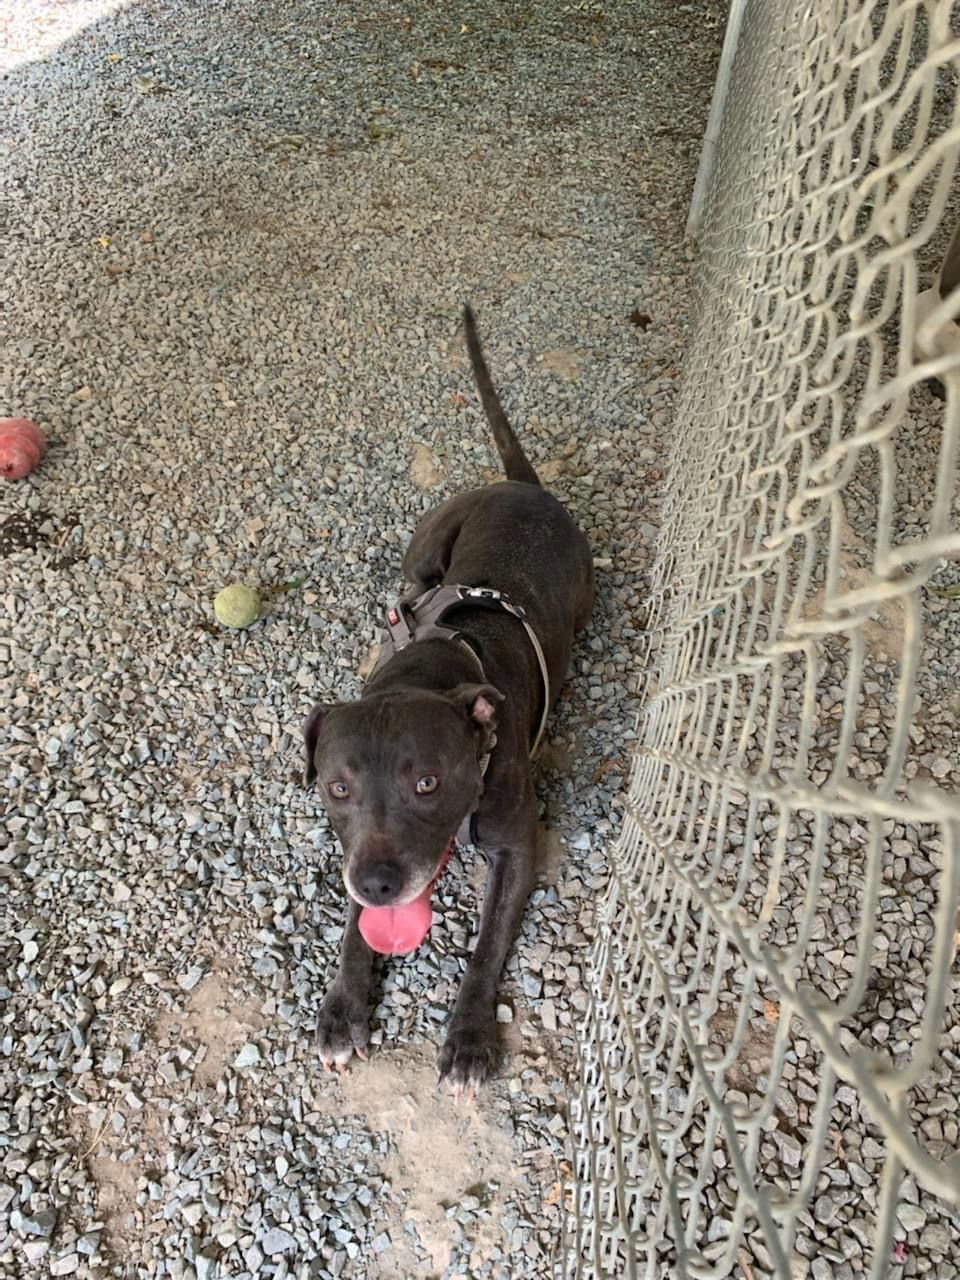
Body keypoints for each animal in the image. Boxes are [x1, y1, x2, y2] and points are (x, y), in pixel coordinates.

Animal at [304, 304, 599, 1095]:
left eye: (428, 783)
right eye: (336, 788)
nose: (378, 882)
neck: (432, 672)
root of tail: (525, 485)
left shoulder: (516, 850)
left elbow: (486, 948)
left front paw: (468, 1037)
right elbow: (353, 932)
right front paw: (343, 1007)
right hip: (424, 549)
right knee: (407, 584)